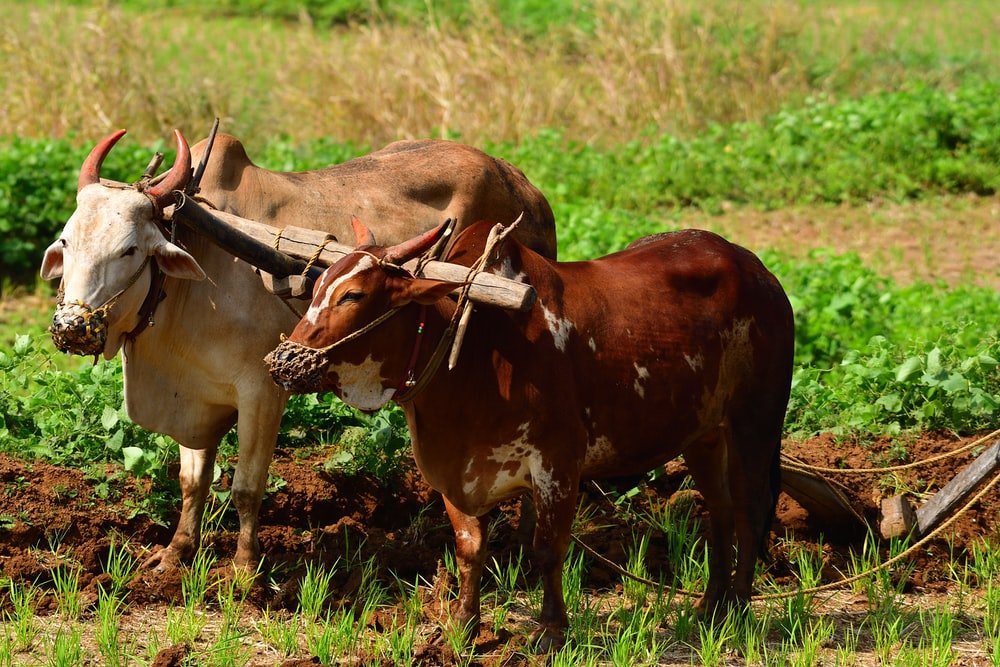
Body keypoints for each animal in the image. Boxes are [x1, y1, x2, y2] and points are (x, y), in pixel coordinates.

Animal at [39, 129, 556, 575]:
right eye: (66, 240)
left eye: (129, 250)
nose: (70, 328)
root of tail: (525, 187)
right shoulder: (197, 394)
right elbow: (192, 482)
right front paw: (176, 554)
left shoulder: (262, 392)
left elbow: (246, 488)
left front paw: (244, 569)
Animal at [266, 219, 795, 649]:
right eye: (316, 287)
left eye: (352, 296)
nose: (283, 360)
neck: (475, 345)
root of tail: (757, 270)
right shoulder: (455, 473)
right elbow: (469, 550)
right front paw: (464, 625)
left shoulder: (557, 465)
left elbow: (547, 548)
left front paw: (552, 630)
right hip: (704, 436)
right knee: (720, 511)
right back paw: (710, 608)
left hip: (755, 422)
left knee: (749, 511)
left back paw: (740, 609)